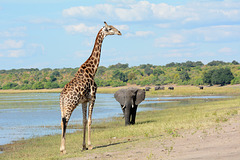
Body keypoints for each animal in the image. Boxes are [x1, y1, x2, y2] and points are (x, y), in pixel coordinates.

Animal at [59, 21, 121, 154]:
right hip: (71, 105)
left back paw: (62, 148)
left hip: (63, 106)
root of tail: (62, 97)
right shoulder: (93, 97)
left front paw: (83, 146)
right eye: (109, 28)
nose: (119, 32)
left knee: (62, 122)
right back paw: (63, 149)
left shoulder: (84, 101)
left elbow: (84, 121)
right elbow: (90, 120)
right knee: (65, 121)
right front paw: (90, 145)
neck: (93, 70)